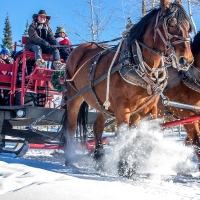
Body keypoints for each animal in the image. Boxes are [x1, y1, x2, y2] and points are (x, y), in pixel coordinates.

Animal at [64, 0, 194, 165]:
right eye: (171, 23)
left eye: (188, 27)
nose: (186, 60)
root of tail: (79, 48)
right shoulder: (122, 109)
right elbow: (125, 138)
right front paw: (125, 166)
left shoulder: (149, 109)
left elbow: (144, 139)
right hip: (74, 97)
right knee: (71, 127)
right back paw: (69, 158)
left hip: (102, 104)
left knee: (97, 127)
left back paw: (99, 157)